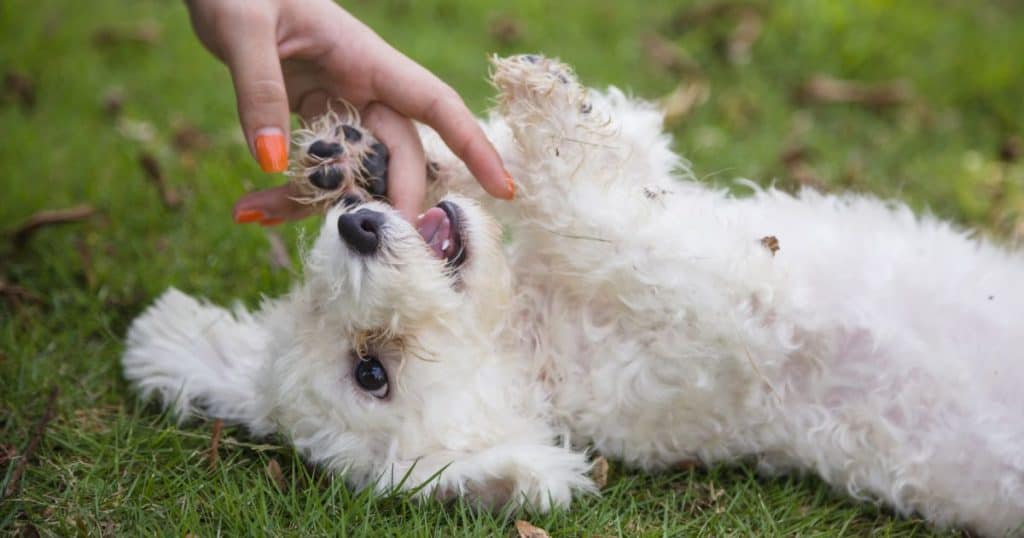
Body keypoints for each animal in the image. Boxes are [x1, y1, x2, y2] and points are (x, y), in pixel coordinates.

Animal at [121, 53, 1024, 532]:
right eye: (370, 371)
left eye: (316, 305)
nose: (360, 230)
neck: (534, 334)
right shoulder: (722, 303)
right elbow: (596, 213)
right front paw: (547, 124)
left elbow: (562, 162)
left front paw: (365, 158)